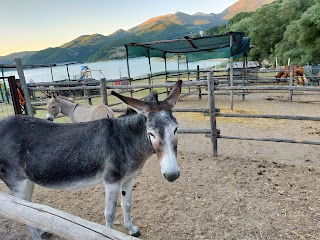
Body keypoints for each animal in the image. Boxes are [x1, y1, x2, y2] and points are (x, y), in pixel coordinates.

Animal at [0, 80, 181, 238]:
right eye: (151, 133)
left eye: (176, 129)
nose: (172, 175)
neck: (123, 139)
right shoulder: (111, 181)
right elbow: (110, 213)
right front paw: (110, 234)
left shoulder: (129, 179)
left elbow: (127, 205)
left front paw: (131, 229)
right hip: (18, 183)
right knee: (21, 211)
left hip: (27, 181)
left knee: (28, 208)